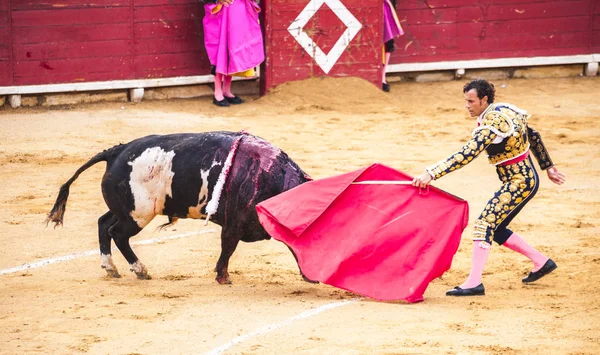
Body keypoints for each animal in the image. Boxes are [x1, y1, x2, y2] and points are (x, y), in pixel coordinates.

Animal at [45, 132, 314, 286]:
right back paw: (140, 270)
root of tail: (116, 151)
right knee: (117, 234)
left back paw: (111, 268)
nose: (312, 277)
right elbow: (228, 247)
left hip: (125, 209)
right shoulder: (233, 223)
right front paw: (223, 277)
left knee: (103, 224)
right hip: (138, 214)